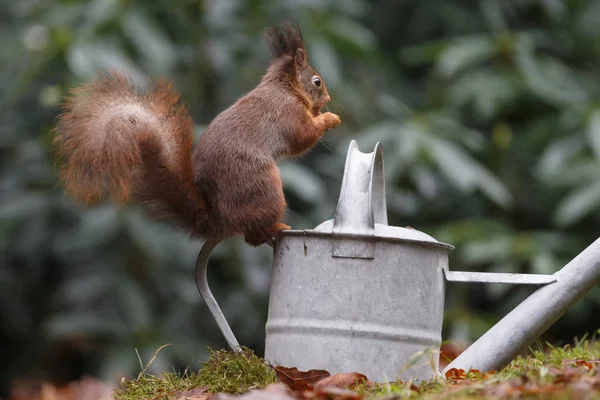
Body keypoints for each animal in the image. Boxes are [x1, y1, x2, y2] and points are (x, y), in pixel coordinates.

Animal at [54, 23, 340, 247]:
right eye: (317, 81)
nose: (327, 99)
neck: (285, 87)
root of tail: (219, 219)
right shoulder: (287, 113)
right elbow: (302, 137)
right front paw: (329, 119)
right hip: (263, 188)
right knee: (252, 235)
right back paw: (276, 228)